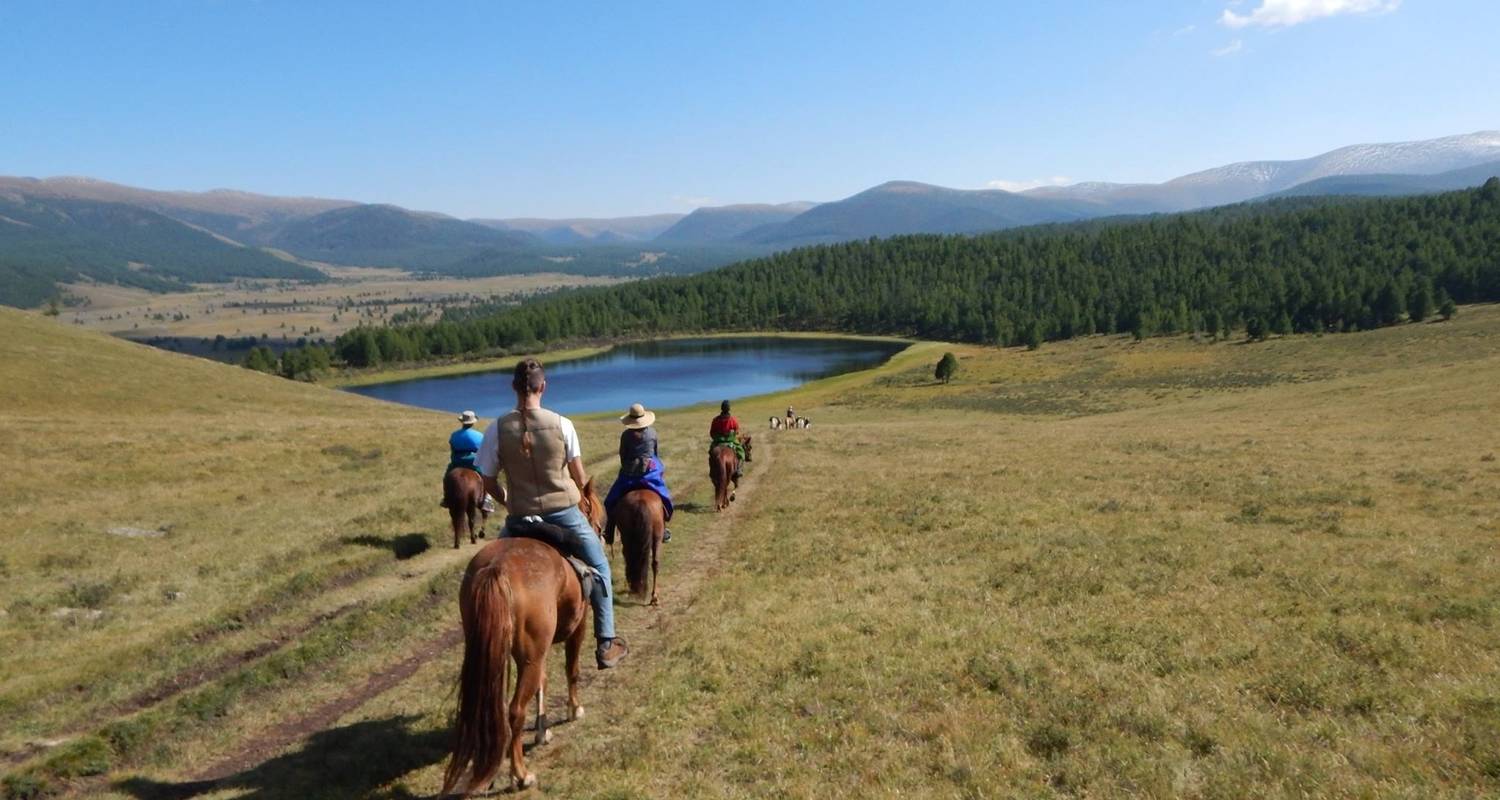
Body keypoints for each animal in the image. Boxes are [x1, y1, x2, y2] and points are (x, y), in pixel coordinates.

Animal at [444, 477, 603, 792]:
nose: (602, 533)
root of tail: (497, 569)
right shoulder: (578, 626)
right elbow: (572, 669)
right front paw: (574, 709)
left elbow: (543, 682)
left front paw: (542, 731)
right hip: (529, 655)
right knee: (515, 710)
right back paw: (521, 774)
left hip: (493, 650)